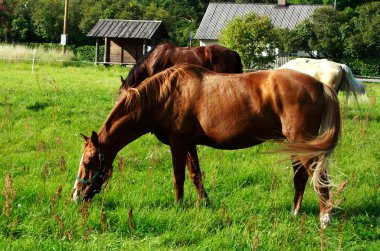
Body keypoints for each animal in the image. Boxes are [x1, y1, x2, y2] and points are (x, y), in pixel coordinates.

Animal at [73, 64, 342, 227]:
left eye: (89, 162)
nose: (76, 196)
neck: (164, 96)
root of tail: (321, 86)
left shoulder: (178, 143)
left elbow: (179, 177)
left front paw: (178, 205)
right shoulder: (189, 145)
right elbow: (195, 175)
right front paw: (204, 203)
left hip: (303, 145)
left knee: (318, 177)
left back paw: (325, 218)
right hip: (296, 146)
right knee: (301, 177)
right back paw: (295, 213)